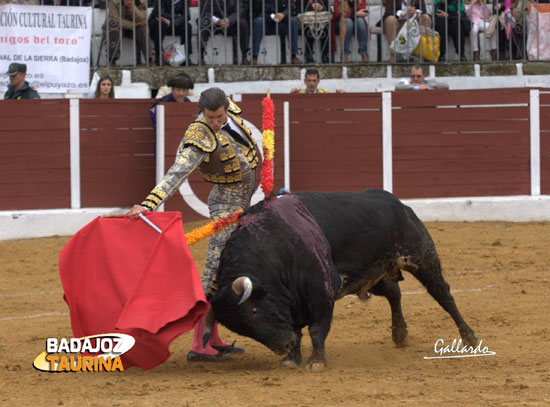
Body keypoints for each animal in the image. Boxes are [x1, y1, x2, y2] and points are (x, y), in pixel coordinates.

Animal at [207, 190, 478, 372]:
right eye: (241, 328)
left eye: (254, 311)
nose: (284, 345)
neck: (275, 244)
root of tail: (398, 204)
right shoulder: (292, 300)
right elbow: (297, 328)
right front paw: (291, 358)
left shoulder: (321, 290)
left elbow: (316, 329)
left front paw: (316, 362)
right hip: (372, 274)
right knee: (394, 293)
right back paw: (399, 334)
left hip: (421, 256)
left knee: (443, 294)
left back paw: (469, 338)